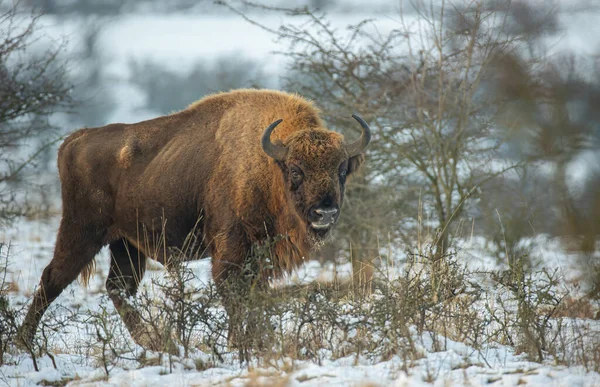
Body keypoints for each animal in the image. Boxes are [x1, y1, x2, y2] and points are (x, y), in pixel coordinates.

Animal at [19, 89, 370, 354]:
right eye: (296, 170)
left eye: (341, 169)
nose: (325, 212)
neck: (268, 166)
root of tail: (74, 140)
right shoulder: (230, 251)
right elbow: (235, 296)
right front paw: (240, 345)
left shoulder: (259, 257)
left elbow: (255, 296)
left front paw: (259, 342)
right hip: (81, 233)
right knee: (52, 279)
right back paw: (23, 344)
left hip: (126, 244)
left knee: (118, 288)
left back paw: (155, 342)